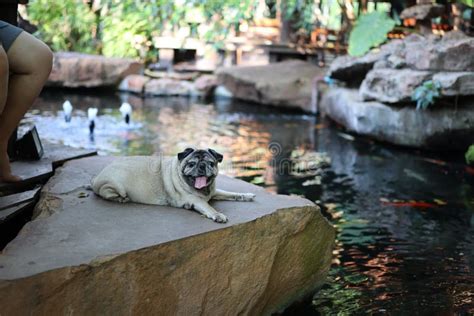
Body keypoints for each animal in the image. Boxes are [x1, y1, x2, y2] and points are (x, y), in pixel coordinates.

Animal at [91, 148, 256, 222]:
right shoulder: (196, 200)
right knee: (107, 193)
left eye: (211, 163)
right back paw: (121, 199)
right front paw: (217, 215)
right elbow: (209, 207)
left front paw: (246, 196)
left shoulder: (214, 192)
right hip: (115, 186)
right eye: (191, 164)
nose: (202, 166)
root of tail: (97, 177)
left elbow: (231, 194)